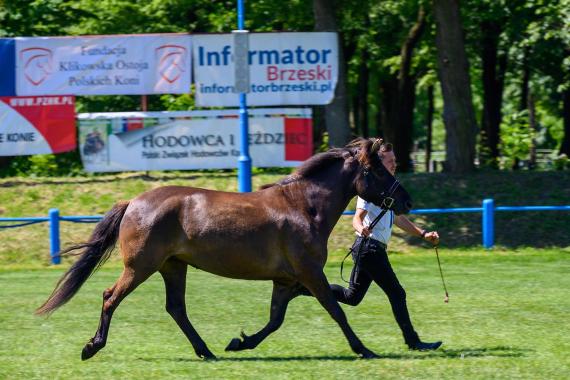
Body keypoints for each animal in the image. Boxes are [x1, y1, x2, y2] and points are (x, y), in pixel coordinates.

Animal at [36, 137, 408, 360]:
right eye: (376, 169)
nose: (405, 199)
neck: (303, 207)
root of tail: (133, 202)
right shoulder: (309, 272)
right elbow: (335, 310)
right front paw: (364, 349)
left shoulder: (286, 279)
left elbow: (275, 319)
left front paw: (240, 342)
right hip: (141, 267)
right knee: (111, 297)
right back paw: (92, 347)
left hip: (173, 266)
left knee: (176, 308)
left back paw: (207, 351)